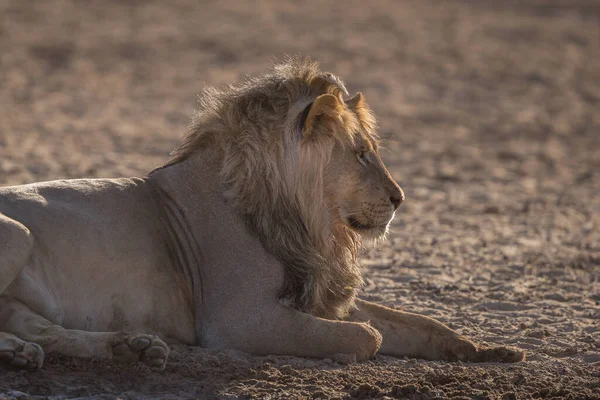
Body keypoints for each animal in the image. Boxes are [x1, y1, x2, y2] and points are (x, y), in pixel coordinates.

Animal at [0, 57, 524, 370]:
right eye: (360, 154)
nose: (400, 198)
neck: (310, 224)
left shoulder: (314, 294)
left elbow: (420, 324)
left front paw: (488, 351)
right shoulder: (235, 320)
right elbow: (368, 336)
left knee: (37, 328)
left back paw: (125, 348)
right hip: (19, 234)